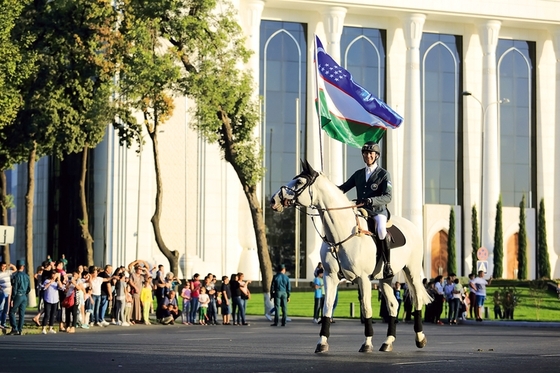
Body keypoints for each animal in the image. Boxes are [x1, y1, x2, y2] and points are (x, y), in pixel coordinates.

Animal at [272, 160, 434, 352]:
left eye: (298, 182)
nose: (274, 200)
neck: (340, 235)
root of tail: (412, 226)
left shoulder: (363, 278)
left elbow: (366, 308)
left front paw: (367, 343)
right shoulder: (330, 276)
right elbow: (327, 307)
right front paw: (322, 342)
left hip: (412, 271)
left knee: (417, 300)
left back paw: (420, 338)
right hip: (385, 278)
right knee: (393, 305)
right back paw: (388, 341)